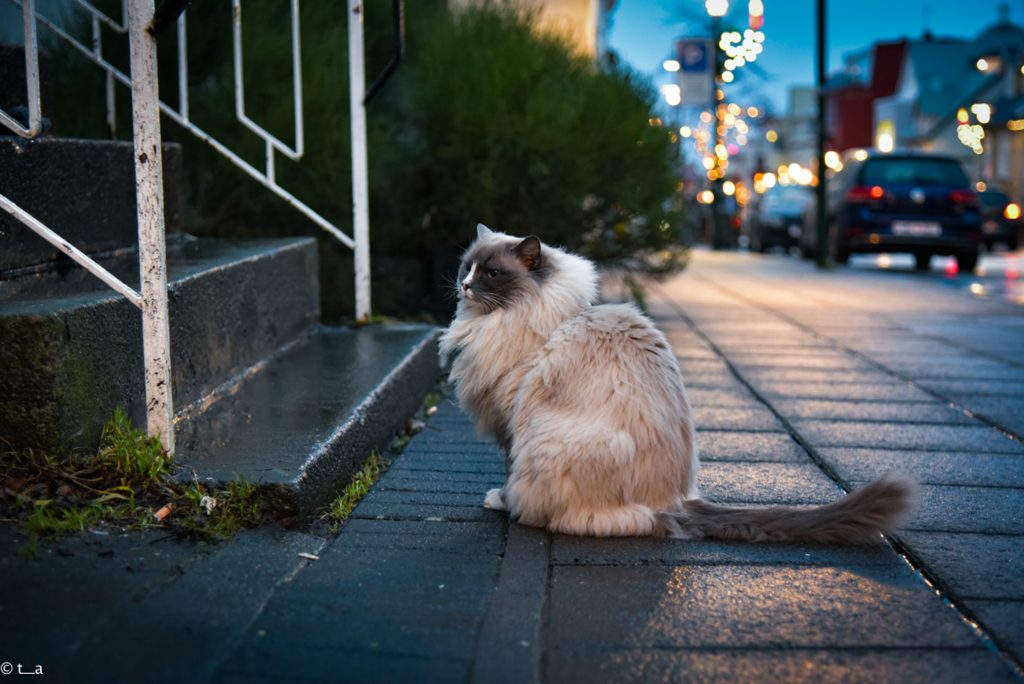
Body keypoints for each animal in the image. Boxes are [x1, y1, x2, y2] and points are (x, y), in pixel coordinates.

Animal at [442, 227, 913, 540]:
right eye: (467, 266)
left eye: (492, 274)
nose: (463, 285)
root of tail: (674, 502)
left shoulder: (512, 424)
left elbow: (508, 472)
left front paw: (501, 499)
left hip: (547, 441)